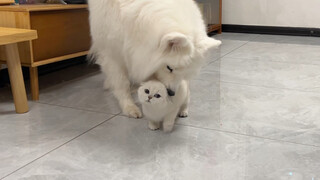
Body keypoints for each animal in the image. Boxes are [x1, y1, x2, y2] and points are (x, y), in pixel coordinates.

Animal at [89, 0, 221, 118]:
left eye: (185, 74)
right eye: (169, 68)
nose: (172, 92)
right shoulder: (112, 53)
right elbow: (122, 83)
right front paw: (129, 107)